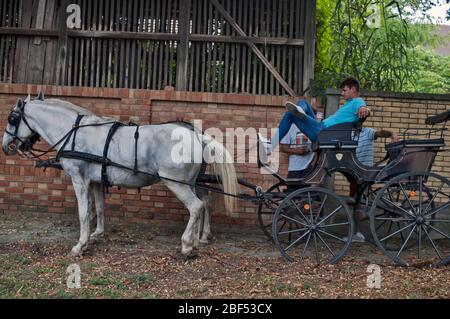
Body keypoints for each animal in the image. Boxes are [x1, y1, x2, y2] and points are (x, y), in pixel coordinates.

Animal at [2, 95, 239, 258]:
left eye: (12, 119)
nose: (7, 146)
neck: (75, 133)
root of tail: (198, 137)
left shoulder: (79, 179)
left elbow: (83, 212)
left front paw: (80, 245)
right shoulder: (96, 180)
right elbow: (98, 207)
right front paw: (96, 235)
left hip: (177, 183)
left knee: (196, 206)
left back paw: (187, 244)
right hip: (191, 182)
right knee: (204, 202)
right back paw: (199, 238)